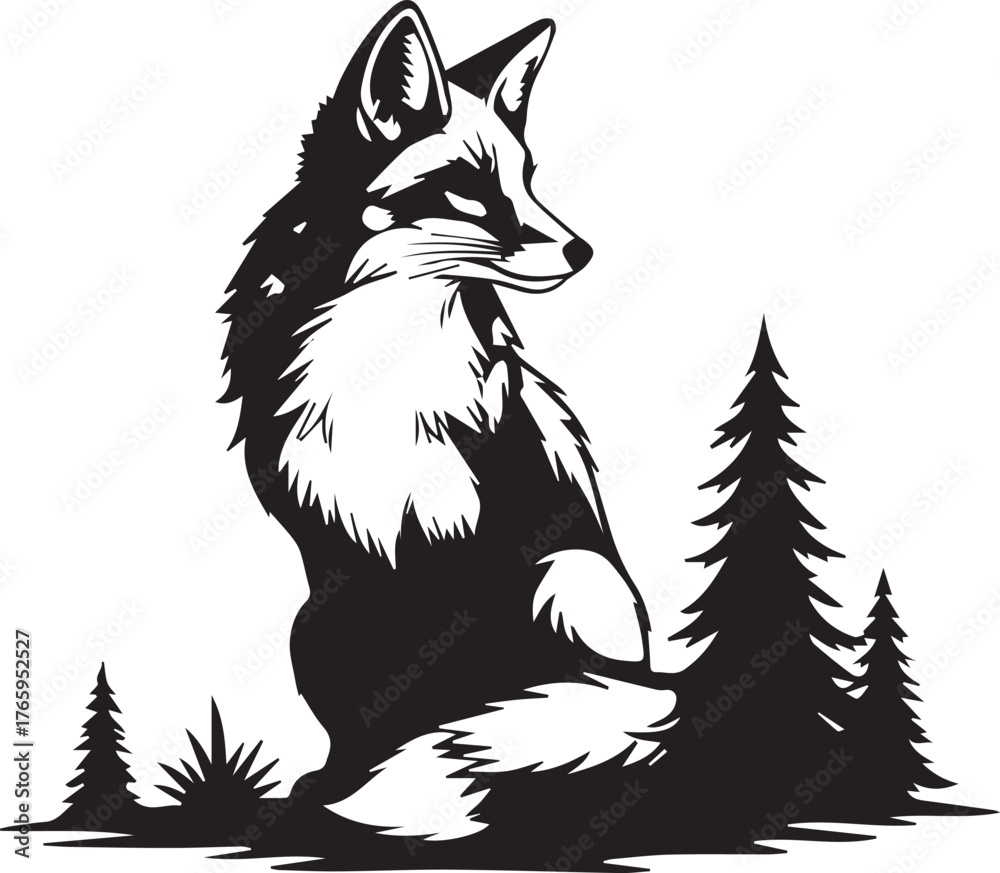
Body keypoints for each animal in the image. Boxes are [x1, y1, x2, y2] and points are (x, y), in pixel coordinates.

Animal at [220, 1, 673, 840]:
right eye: (467, 189)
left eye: (527, 179)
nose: (583, 250)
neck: (378, 370)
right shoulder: (347, 562)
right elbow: (379, 709)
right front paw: (360, 788)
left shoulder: (480, 533)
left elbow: (469, 698)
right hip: (310, 626)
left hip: (572, 575)